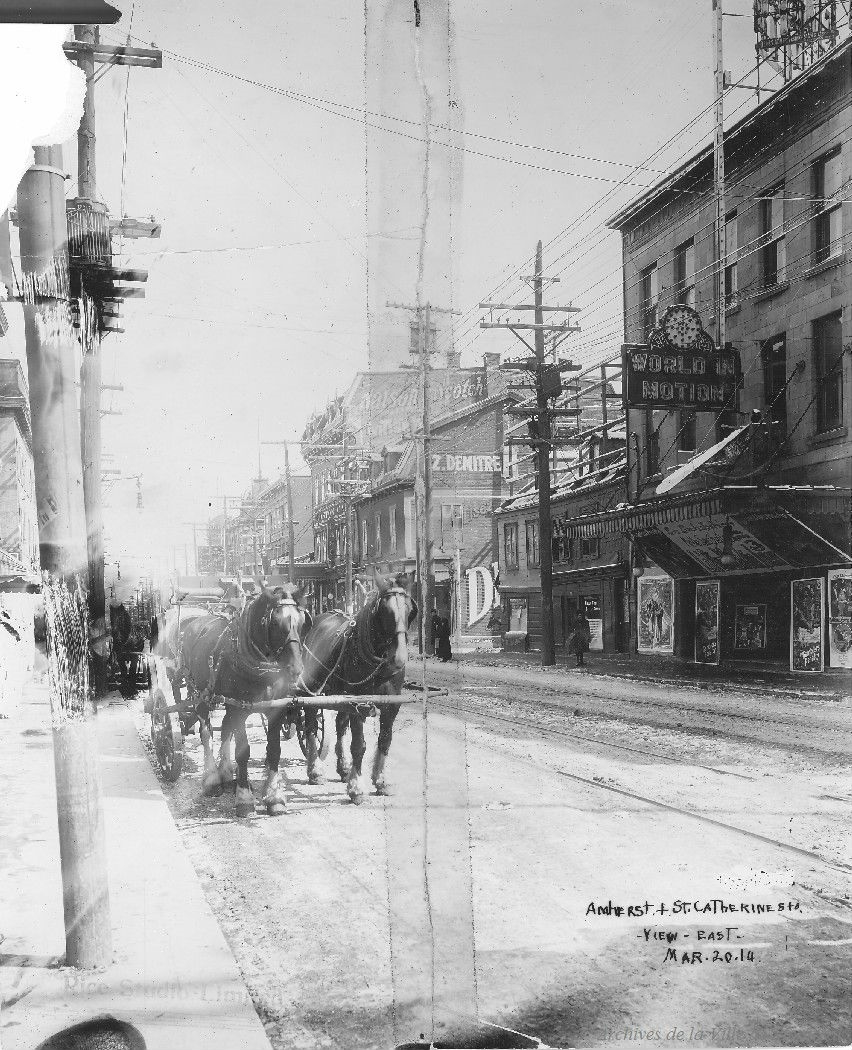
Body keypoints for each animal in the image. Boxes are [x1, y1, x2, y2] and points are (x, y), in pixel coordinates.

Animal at [178, 588, 310, 814]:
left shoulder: (276, 709)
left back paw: (225, 772)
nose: (296, 669)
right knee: (206, 732)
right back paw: (212, 779)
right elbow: (243, 751)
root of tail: (194, 622)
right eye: (275, 623)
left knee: (224, 728)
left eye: (302, 622)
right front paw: (244, 797)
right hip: (201, 694)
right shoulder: (238, 709)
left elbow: (274, 750)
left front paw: (274, 796)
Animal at [298, 575, 418, 802]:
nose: (399, 658)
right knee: (310, 726)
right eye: (385, 611)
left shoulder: (392, 704)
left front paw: (380, 781)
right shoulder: (359, 703)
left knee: (339, 724)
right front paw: (357, 788)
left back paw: (343, 768)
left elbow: (385, 740)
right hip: (312, 691)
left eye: (409, 609)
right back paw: (315, 770)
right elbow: (359, 745)